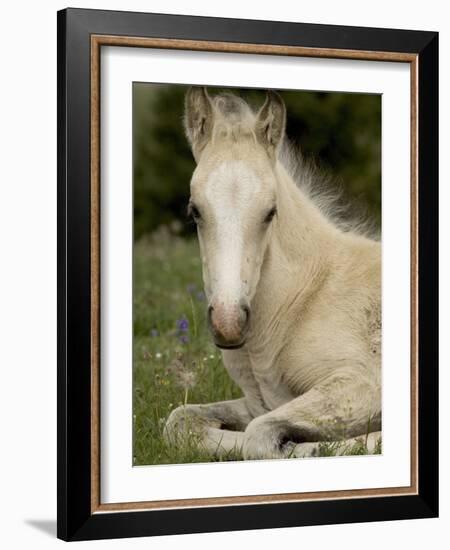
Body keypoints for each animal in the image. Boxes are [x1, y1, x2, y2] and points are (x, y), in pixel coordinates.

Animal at [163, 89, 382, 462]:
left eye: (270, 212)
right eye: (195, 211)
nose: (229, 323)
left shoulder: (362, 382)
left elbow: (260, 436)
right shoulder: (260, 401)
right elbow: (180, 422)